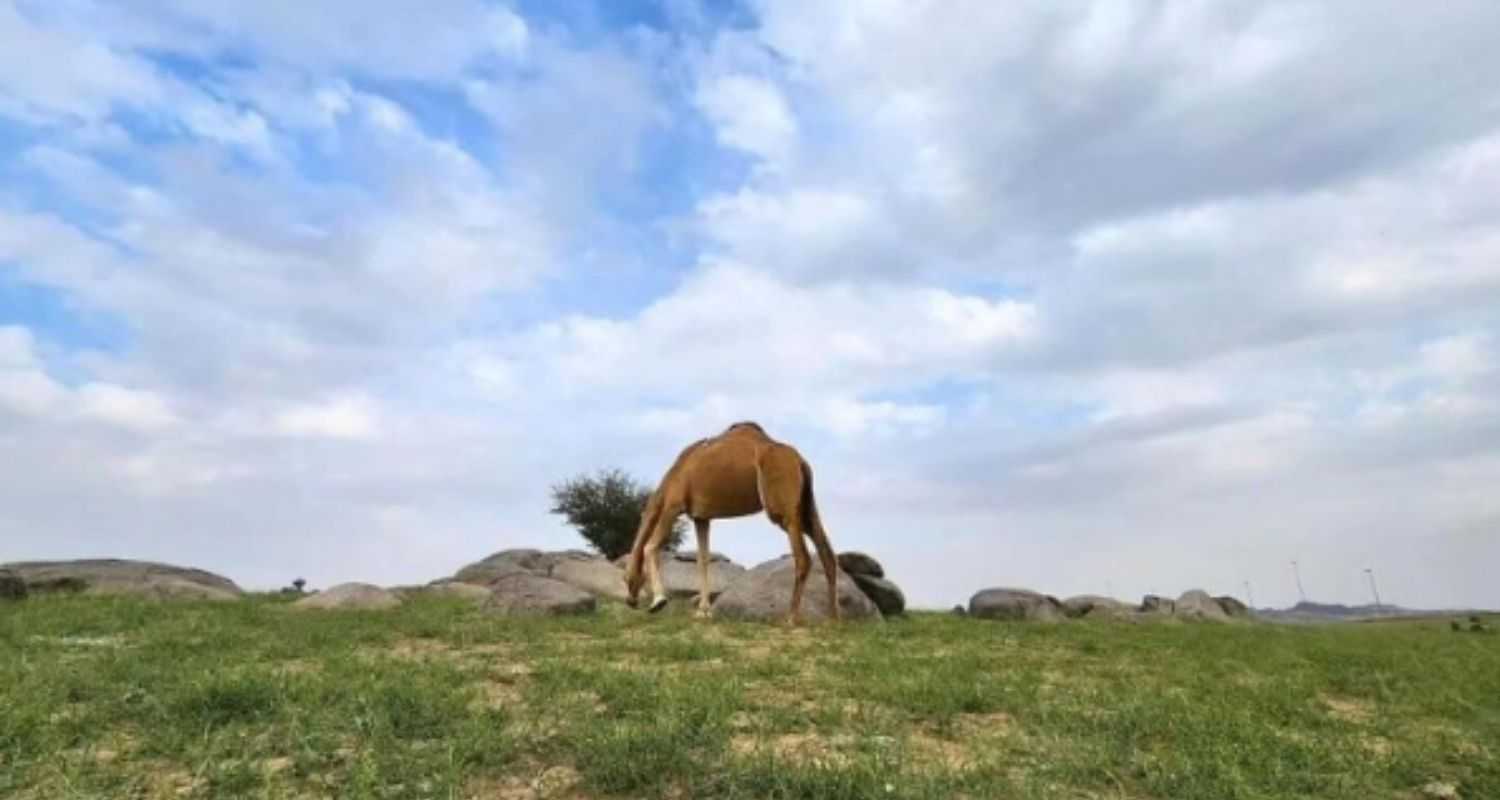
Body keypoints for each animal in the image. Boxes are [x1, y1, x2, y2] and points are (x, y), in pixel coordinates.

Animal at [621, 420, 846, 621]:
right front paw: (703, 612)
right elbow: (703, 559)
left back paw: (791, 618)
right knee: (827, 552)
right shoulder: (701, 517)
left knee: (803, 557)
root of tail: (801, 461)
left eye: (625, 578)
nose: (630, 601)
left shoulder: (673, 506)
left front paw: (658, 601)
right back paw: (833, 618)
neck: (672, 476)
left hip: (782, 510)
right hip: (806, 507)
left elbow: (650, 546)